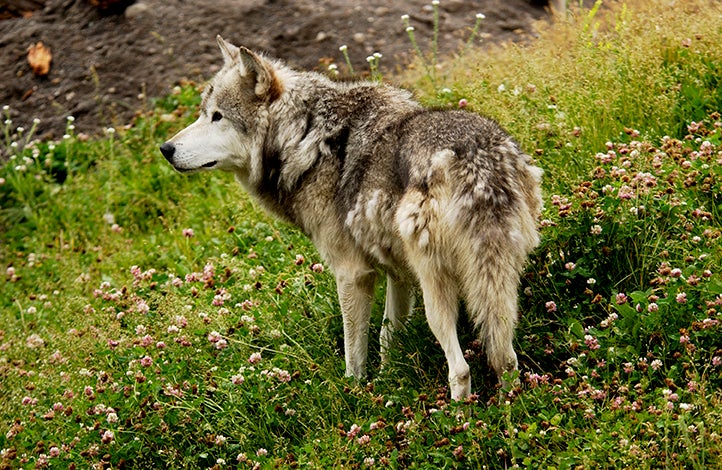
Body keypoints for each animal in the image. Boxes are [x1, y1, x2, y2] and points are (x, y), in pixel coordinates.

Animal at [158, 35, 540, 400]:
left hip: (438, 290)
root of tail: (475, 158)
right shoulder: (398, 273)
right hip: (496, 283)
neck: (301, 137)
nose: (165, 149)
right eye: (202, 113)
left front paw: (356, 394)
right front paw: (388, 380)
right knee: (506, 359)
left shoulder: (352, 274)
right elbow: (388, 336)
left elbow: (354, 352)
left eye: (217, 116)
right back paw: (509, 408)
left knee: (460, 370)